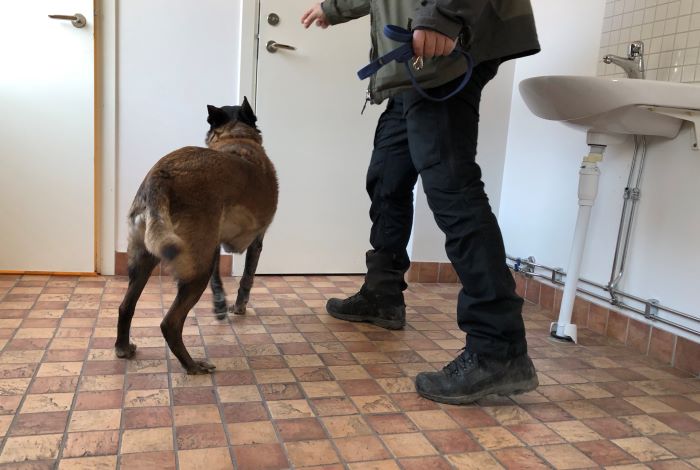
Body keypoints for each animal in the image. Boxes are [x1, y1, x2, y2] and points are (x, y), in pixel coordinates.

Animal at [116, 98, 278, 374]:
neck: (237, 135)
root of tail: (161, 175)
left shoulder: (213, 245)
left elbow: (218, 280)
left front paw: (220, 305)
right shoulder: (256, 242)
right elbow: (247, 279)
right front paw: (238, 307)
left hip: (147, 260)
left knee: (126, 306)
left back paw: (123, 348)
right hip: (194, 272)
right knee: (170, 323)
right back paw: (192, 365)